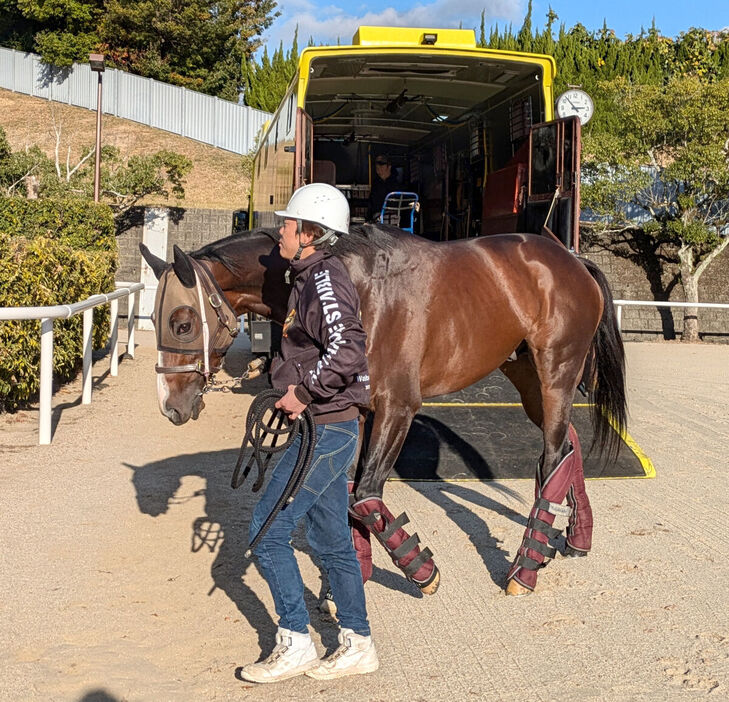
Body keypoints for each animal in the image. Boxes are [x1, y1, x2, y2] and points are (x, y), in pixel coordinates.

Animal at [142, 223, 624, 596]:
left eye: (182, 323)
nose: (170, 407)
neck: (355, 287)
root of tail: (571, 257)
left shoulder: (397, 408)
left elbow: (366, 496)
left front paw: (422, 570)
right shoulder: (354, 411)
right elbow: (348, 492)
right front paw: (351, 578)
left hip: (556, 373)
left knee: (554, 454)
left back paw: (524, 569)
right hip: (526, 377)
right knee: (565, 447)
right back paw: (575, 537)